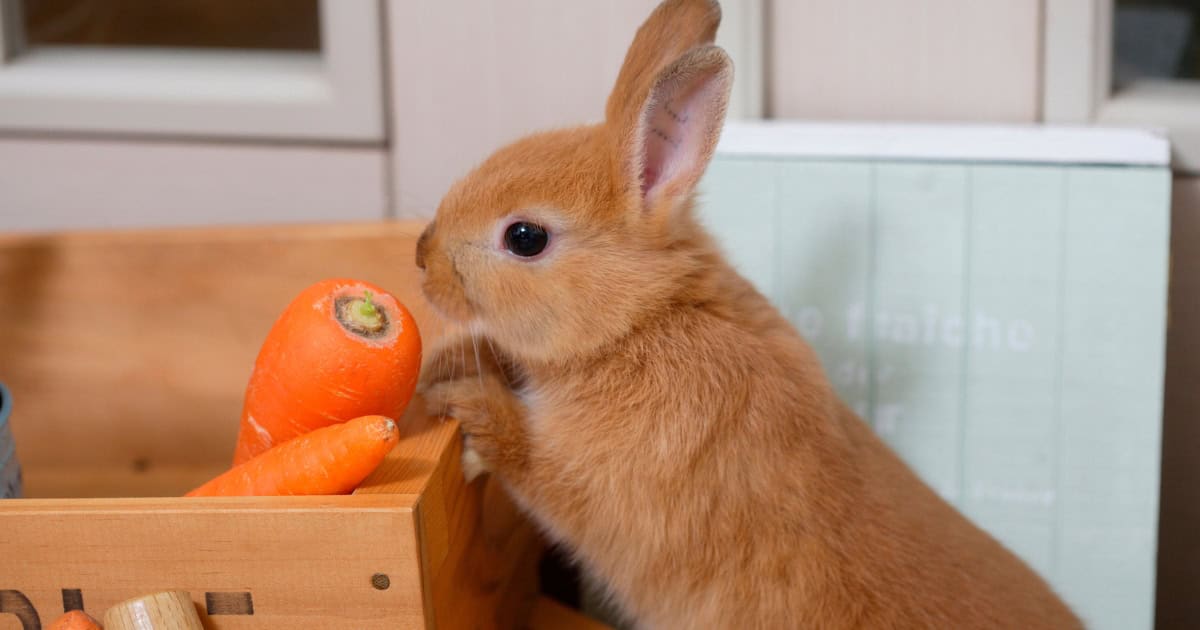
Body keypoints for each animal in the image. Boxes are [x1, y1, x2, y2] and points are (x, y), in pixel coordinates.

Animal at [415, 0, 1082, 628]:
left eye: (525, 237)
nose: (422, 257)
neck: (644, 318)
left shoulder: (613, 484)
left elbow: (535, 466)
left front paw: (468, 404)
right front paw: (441, 363)